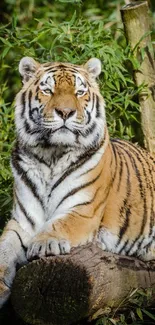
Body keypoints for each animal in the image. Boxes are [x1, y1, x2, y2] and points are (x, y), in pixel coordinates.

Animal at [0, 55, 155, 306]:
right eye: (48, 90)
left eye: (79, 92)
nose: (65, 112)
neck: (50, 155)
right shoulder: (22, 220)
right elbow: (4, 248)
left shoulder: (83, 211)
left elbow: (59, 224)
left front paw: (44, 243)